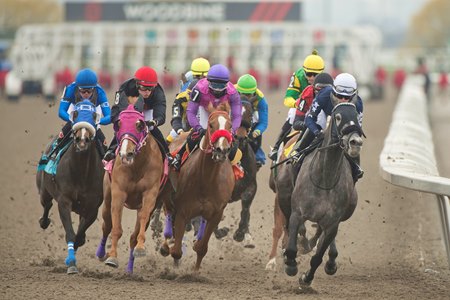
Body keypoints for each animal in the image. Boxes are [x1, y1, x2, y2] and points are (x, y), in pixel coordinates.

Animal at [36, 100, 103, 274]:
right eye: (75, 114)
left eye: (94, 115)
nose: (82, 140)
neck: (82, 173)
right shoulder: (64, 201)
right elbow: (71, 234)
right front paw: (71, 263)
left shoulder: (92, 208)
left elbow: (79, 236)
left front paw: (74, 253)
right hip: (44, 191)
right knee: (46, 205)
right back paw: (43, 221)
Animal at [96, 104, 166, 274]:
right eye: (118, 124)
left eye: (139, 125)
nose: (125, 154)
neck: (136, 166)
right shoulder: (118, 192)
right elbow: (116, 228)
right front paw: (112, 257)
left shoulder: (150, 194)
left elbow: (141, 222)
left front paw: (140, 248)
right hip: (107, 198)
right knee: (107, 224)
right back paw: (101, 253)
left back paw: (129, 268)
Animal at [161, 102, 236, 270]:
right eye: (211, 125)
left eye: (229, 125)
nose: (222, 150)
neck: (207, 180)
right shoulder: (182, 211)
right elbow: (176, 251)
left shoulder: (216, 214)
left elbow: (201, 248)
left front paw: (195, 271)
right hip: (168, 197)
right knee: (169, 216)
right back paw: (165, 245)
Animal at [284, 102, 366, 286]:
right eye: (338, 117)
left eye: (357, 116)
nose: (355, 142)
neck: (325, 180)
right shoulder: (297, 213)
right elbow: (292, 247)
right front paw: (291, 264)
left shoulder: (332, 222)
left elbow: (317, 257)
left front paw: (306, 278)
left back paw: (330, 260)